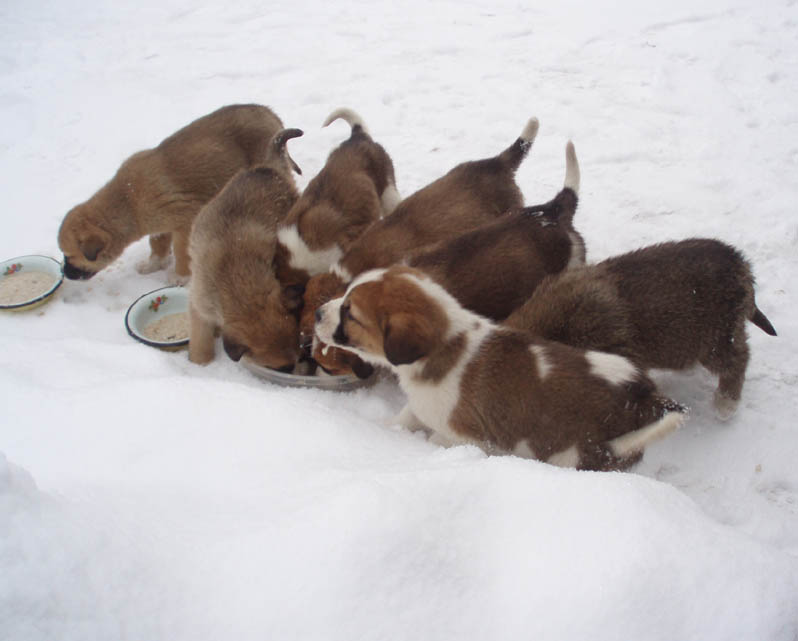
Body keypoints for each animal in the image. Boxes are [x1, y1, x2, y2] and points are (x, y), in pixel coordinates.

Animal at [59, 104, 294, 282]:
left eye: (69, 256)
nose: (64, 273)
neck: (129, 202)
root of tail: (268, 112)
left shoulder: (185, 222)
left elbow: (181, 251)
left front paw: (180, 277)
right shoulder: (161, 226)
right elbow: (157, 244)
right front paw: (153, 264)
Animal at [314, 266, 687, 471]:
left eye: (350, 313)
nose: (317, 313)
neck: (446, 345)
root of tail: (644, 398)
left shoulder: (468, 437)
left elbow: (438, 438)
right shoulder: (422, 406)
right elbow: (406, 417)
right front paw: (386, 428)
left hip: (568, 453)